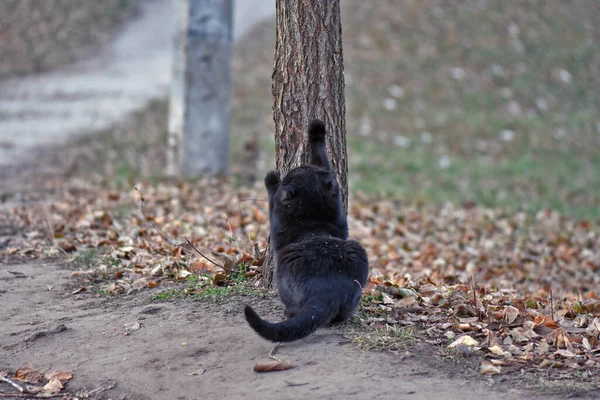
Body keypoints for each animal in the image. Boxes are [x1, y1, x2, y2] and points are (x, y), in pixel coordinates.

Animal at [245, 119, 370, 340]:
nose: (283, 174)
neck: (312, 215)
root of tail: (328, 288)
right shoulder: (333, 193)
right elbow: (321, 157)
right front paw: (317, 128)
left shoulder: (276, 218)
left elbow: (272, 194)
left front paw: (271, 177)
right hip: (358, 253)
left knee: (294, 310)